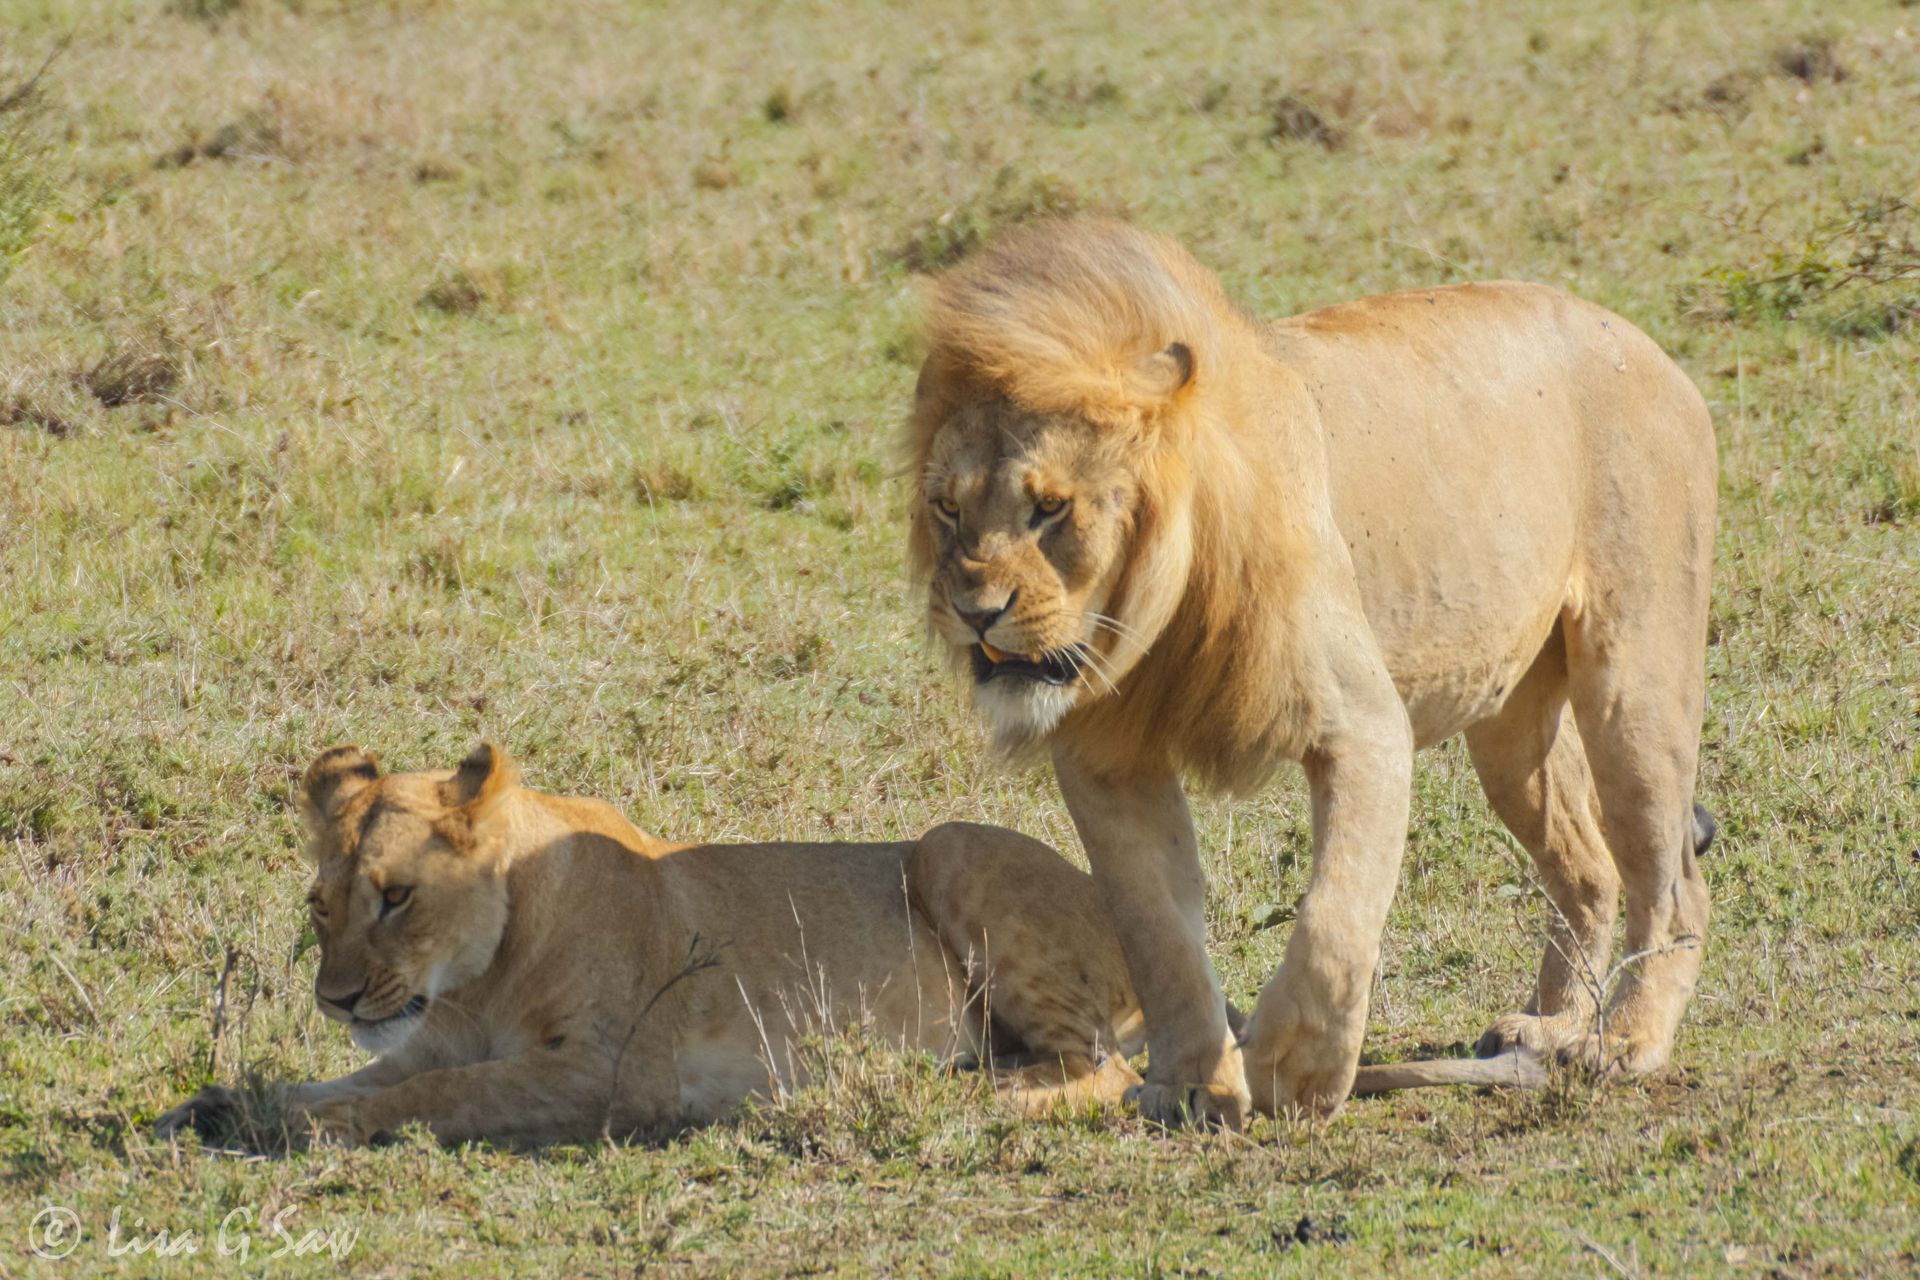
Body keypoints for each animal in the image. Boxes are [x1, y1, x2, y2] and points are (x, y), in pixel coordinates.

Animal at [157, 742, 1540, 1147]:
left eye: (394, 894)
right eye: (322, 902)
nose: (338, 992)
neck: (482, 963)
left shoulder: (601, 1071)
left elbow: (430, 1096)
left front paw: (297, 1124)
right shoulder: (419, 1037)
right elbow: (351, 1078)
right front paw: (222, 1099)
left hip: (949, 845)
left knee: (1105, 1071)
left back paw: (947, 1095)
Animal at [906, 217, 1718, 1128]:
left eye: (1050, 508)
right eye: (947, 508)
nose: (974, 611)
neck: (1149, 619)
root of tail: (1646, 345)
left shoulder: (1361, 726)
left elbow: (1334, 916)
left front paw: (1297, 1071)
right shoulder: (1108, 757)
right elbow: (1156, 929)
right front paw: (1190, 1082)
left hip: (1634, 675)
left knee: (1674, 881)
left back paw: (1625, 1041)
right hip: (1511, 728)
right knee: (1589, 867)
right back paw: (1550, 1027)